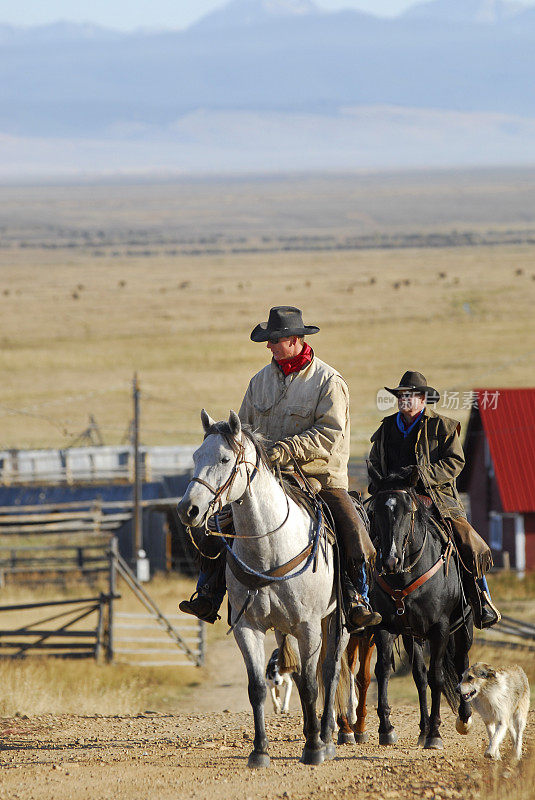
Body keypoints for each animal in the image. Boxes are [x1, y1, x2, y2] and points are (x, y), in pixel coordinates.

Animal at [178, 410, 350, 764]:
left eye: (225, 458)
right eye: (196, 456)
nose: (188, 510)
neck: (269, 549)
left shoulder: (308, 626)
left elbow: (310, 685)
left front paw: (313, 749)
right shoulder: (247, 627)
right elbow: (257, 687)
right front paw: (259, 751)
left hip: (338, 622)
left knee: (330, 672)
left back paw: (326, 737)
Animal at [368, 468, 474, 752]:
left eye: (408, 510)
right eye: (376, 510)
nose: (390, 560)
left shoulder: (440, 628)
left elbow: (437, 676)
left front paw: (435, 734)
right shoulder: (386, 627)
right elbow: (384, 669)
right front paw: (386, 728)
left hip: (463, 629)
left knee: (461, 664)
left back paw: (463, 718)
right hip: (412, 634)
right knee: (419, 675)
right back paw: (423, 728)